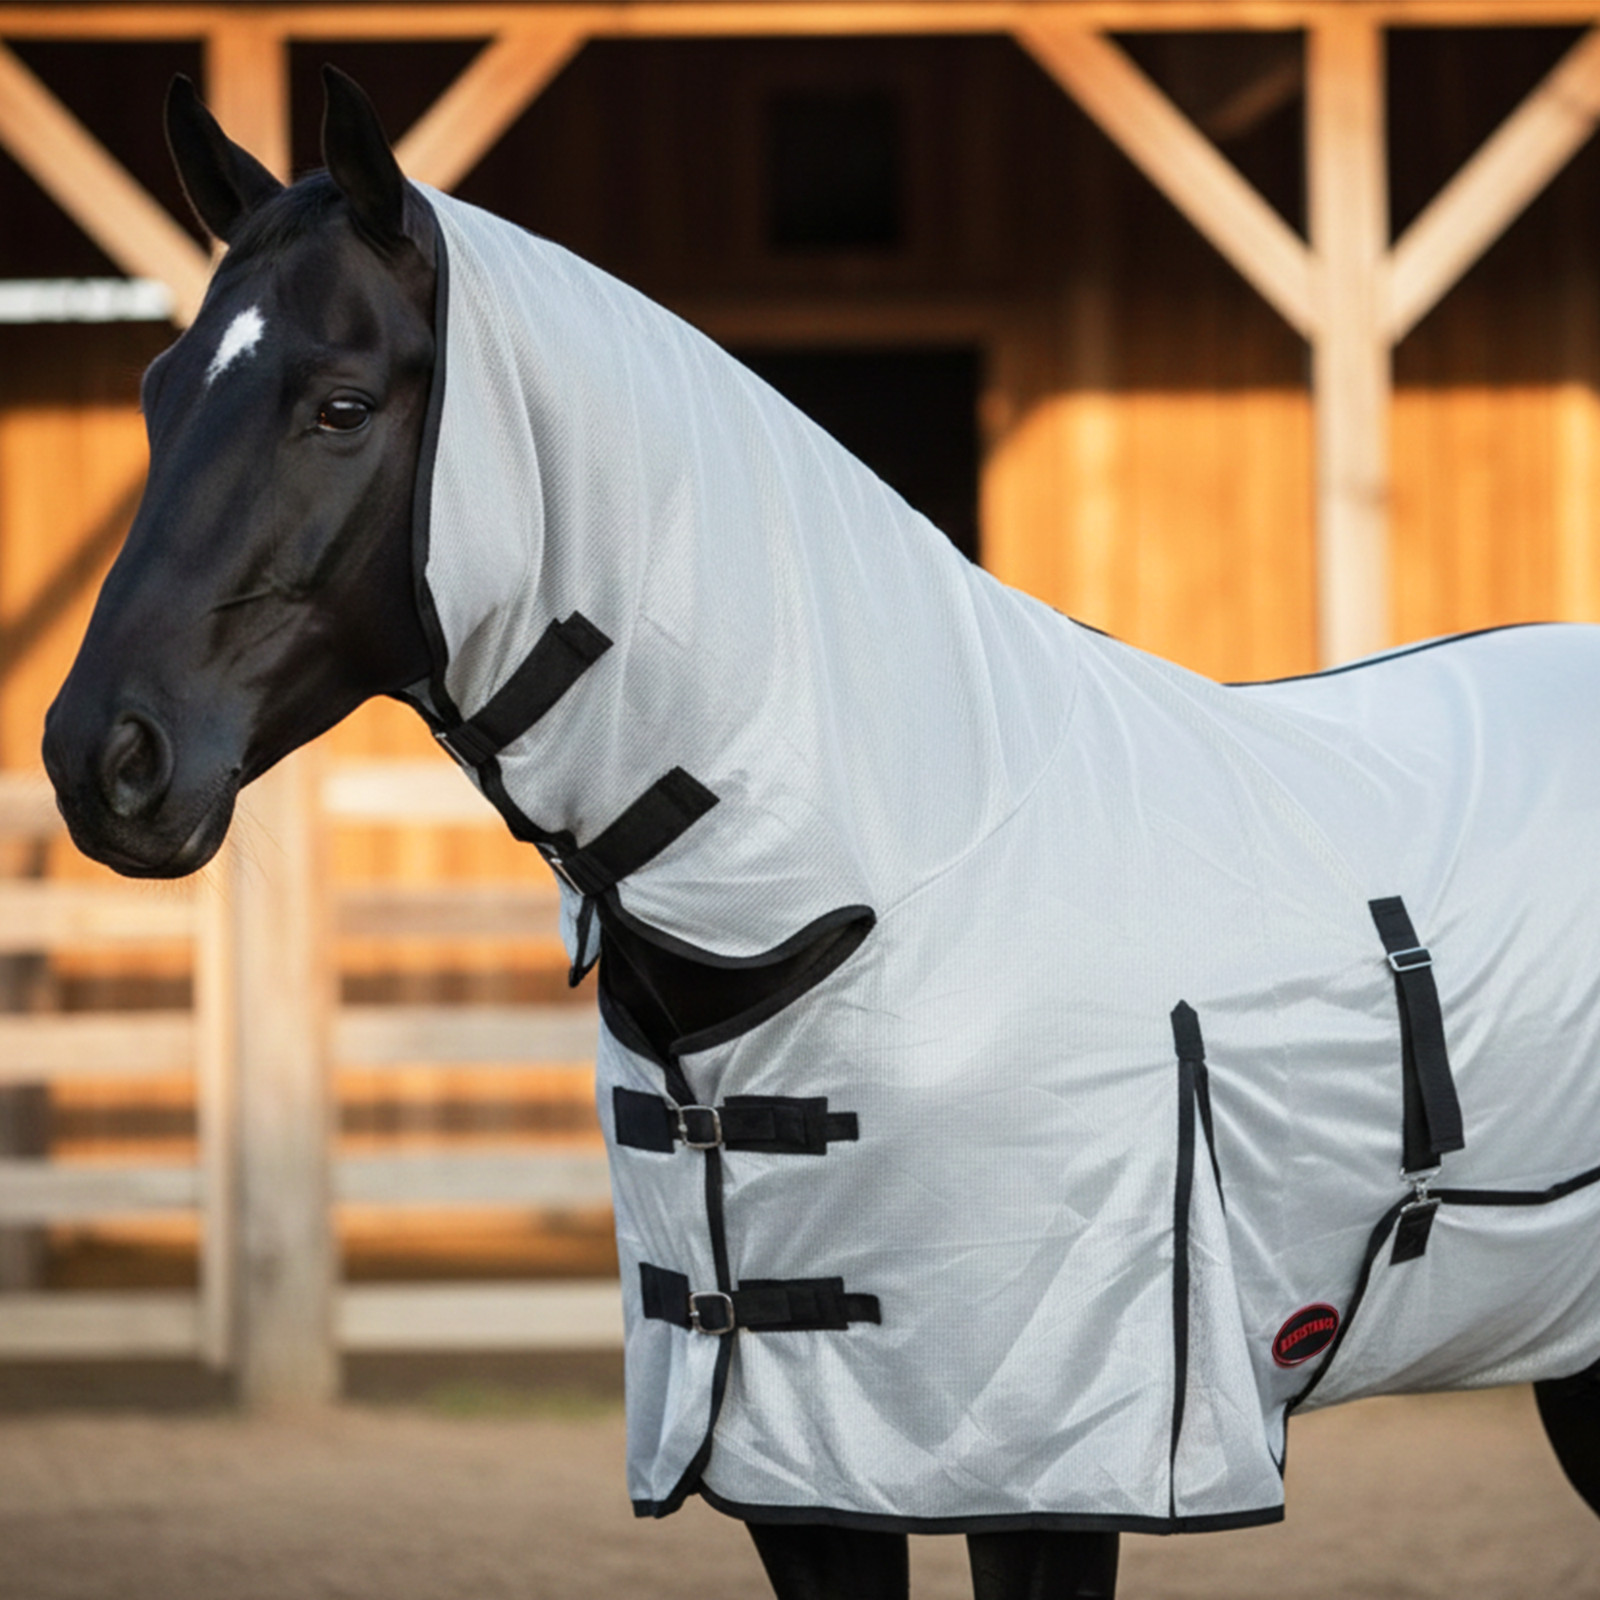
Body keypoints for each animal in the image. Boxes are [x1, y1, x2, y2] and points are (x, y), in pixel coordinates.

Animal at [41, 68, 1600, 1600]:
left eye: (343, 404)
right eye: (157, 389)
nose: (98, 757)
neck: (881, 869)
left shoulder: (1046, 1465)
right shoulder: (802, 1475)